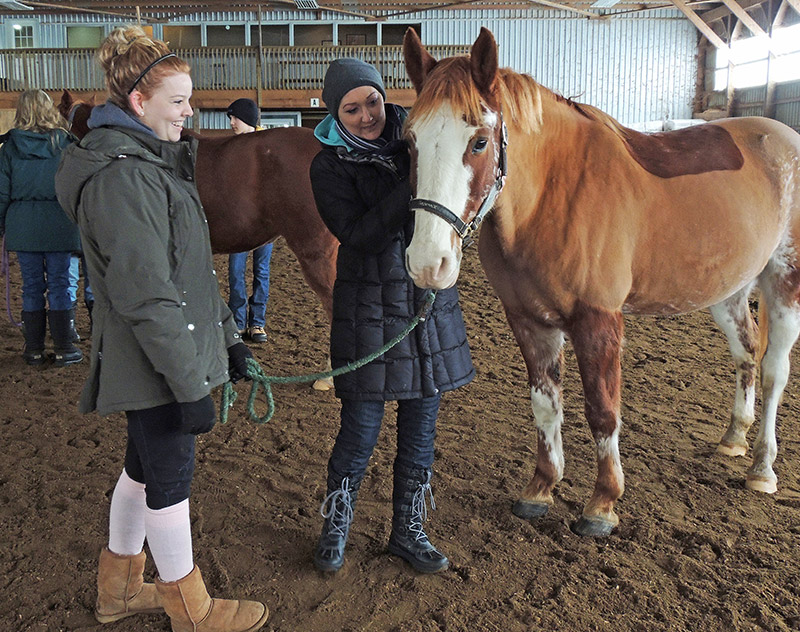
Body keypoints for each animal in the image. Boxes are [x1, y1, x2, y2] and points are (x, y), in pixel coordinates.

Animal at [401, 27, 800, 537]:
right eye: (410, 141)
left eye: (479, 141)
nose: (428, 263)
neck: (553, 193)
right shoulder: (529, 321)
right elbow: (546, 406)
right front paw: (540, 489)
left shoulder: (599, 322)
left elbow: (603, 411)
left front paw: (602, 504)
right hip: (727, 290)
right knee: (746, 353)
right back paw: (733, 437)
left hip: (783, 281)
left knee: (774, 370)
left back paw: (763, 468)